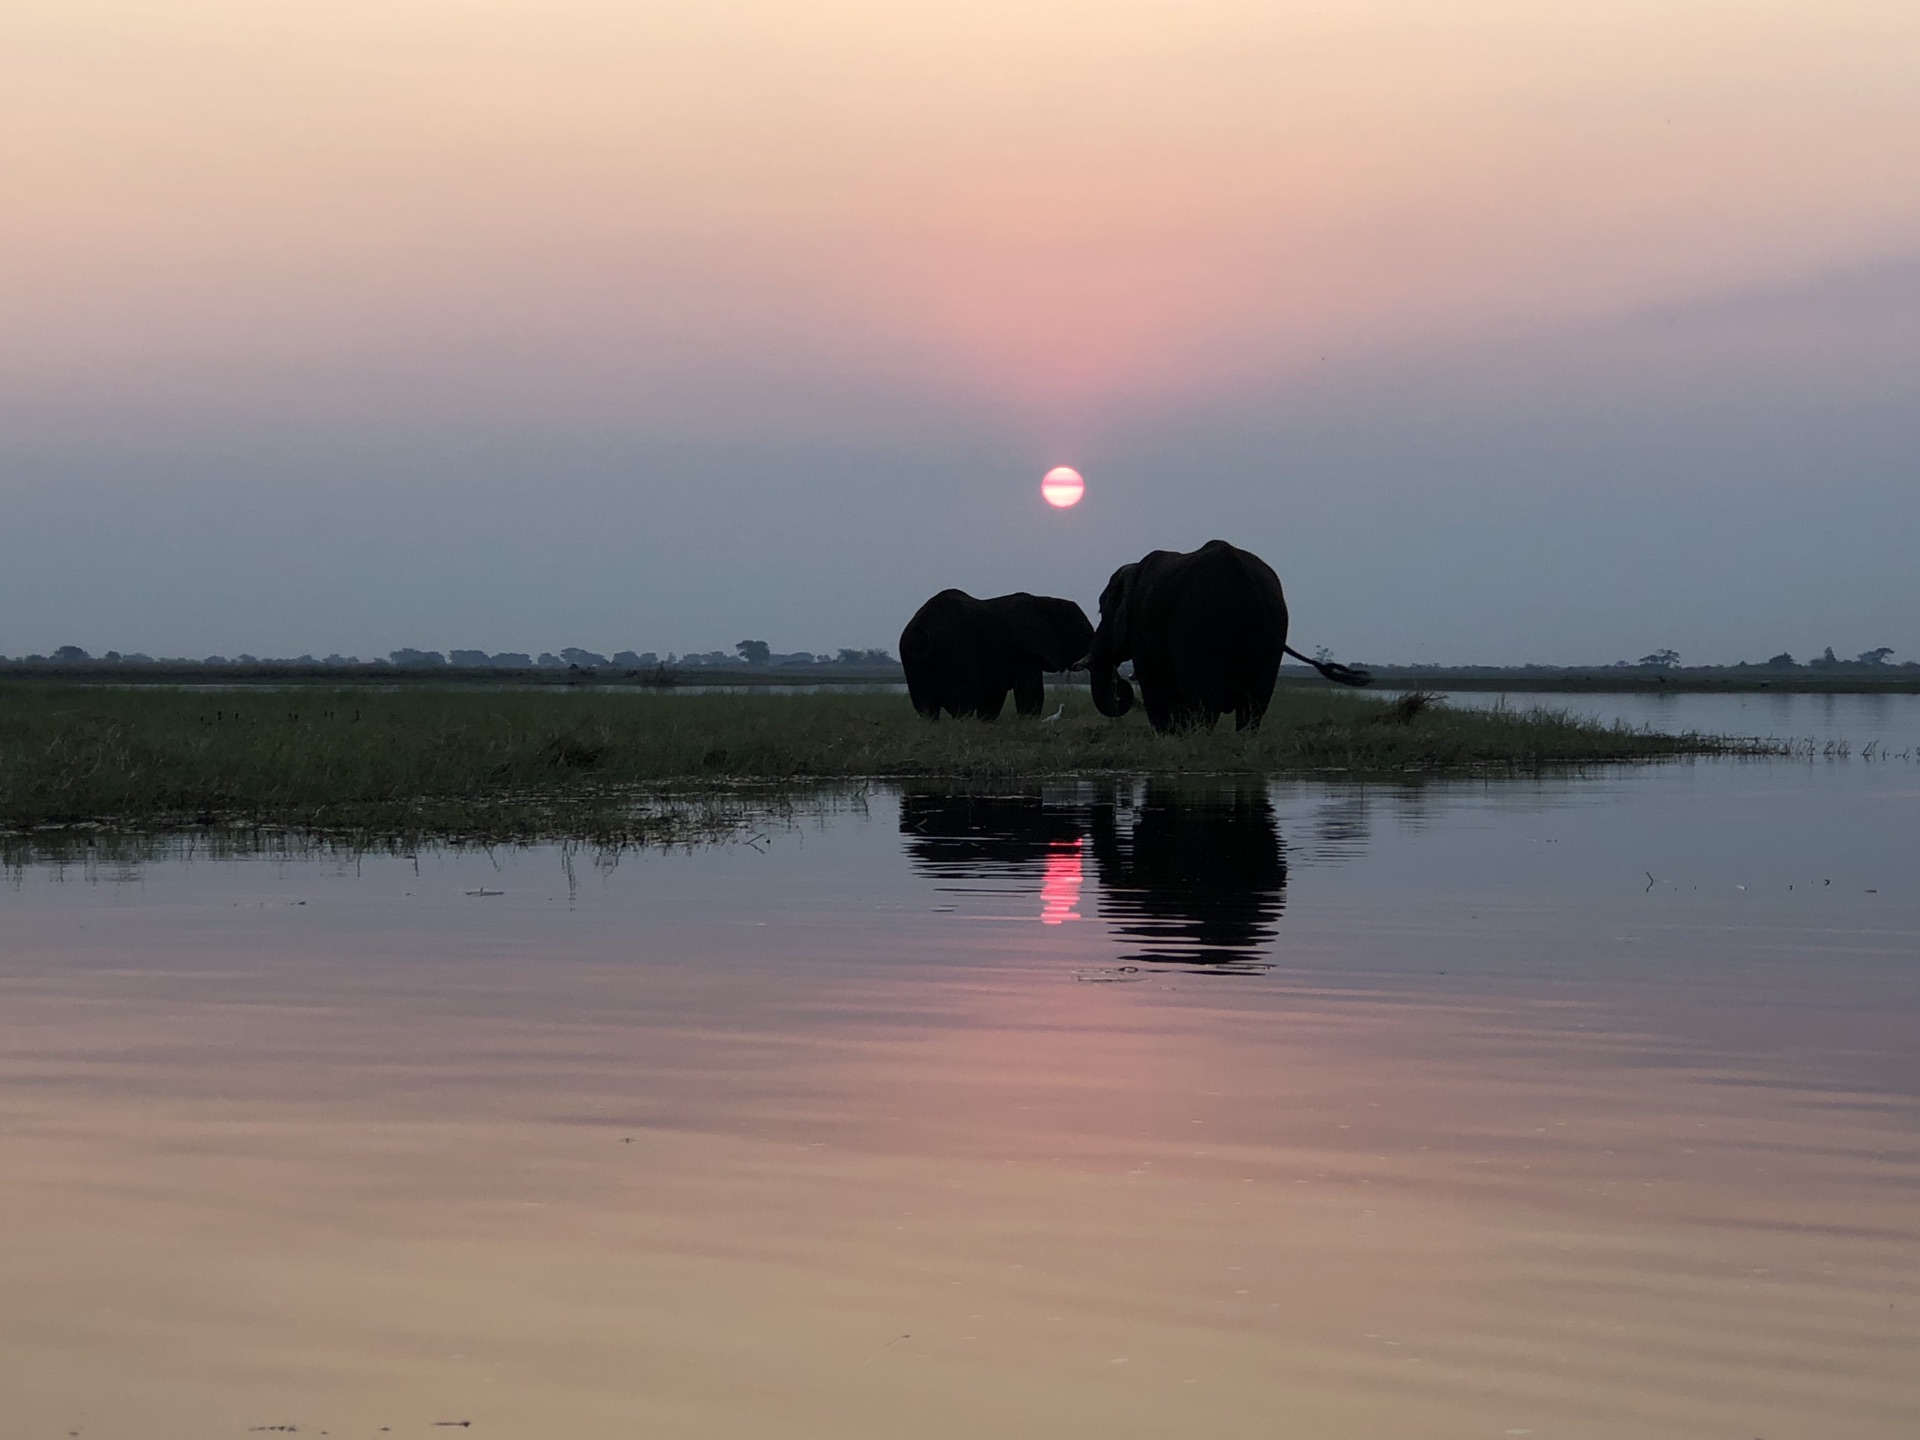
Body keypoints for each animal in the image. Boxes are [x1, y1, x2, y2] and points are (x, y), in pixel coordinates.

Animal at [902, 587, 1098, 718]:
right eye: (1081, 635)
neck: (1043, 601)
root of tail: (920, 630)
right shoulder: (1024, 651)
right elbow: (1030, 690)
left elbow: (994, 695)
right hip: (955, 650)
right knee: (962, 703)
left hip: (911, 659)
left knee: (926, 706)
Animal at [1090, 537, 1374, 733]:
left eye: (1101, 610)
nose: (1121, 683)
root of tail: (1241, 574)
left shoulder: (1142, 629)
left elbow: (1156, 687)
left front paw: (1169, 736)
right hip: (1273, 624)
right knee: (1254, 705)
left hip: (1197, 623)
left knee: (1204, 702)